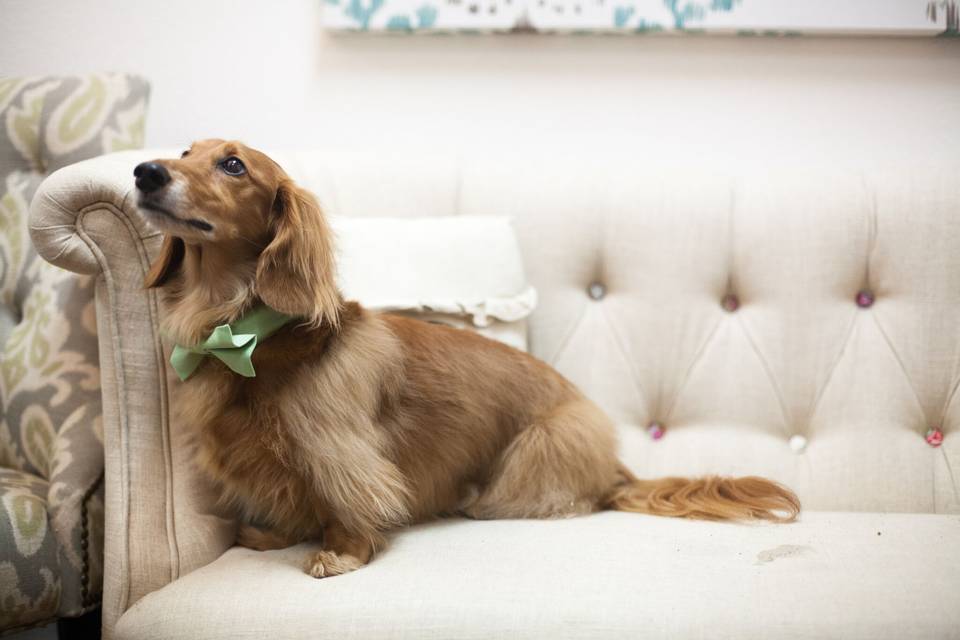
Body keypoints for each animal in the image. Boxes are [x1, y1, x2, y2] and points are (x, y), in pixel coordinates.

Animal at [131, 140, 800, 580]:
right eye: (186, 148)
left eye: (233, 164)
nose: (144, 171)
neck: (244, 333)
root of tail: (615, 463)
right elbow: (293, 497)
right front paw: (276, 534)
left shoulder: (336, 448)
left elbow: (344, 499)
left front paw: (342, 552)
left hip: (536, 450)